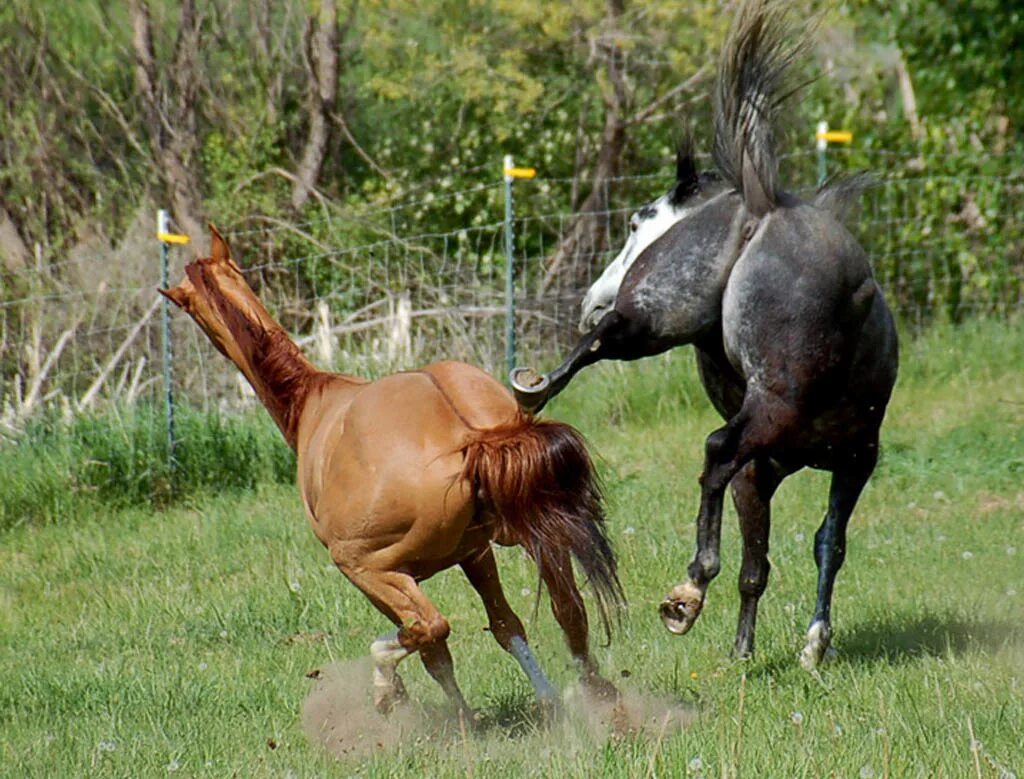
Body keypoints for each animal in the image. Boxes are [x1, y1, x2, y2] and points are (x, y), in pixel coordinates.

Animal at [159, 225, 622, 716]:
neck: (312, 401)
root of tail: (471, 434)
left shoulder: (381, 576)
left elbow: (432, 647)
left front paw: (445, 714)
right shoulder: (475, 554)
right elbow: (505, 625)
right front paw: (543, 701)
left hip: (368, 567)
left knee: (432, 628)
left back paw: (390, 685)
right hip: (538, 534)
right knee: (569, 608)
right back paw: (593, 696)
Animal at [512, 1, 897, 667]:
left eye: (636, 222)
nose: (589, 298)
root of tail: (764, 209)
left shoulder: (769, 471)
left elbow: (760, 563)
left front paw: (744, 651)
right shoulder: (851, 459)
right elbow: (825, 543)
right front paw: (812, 642)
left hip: (661, 314)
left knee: (610, 343)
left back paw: (536, 388)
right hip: (772, 400)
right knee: (715, 445)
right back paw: (687, 591)